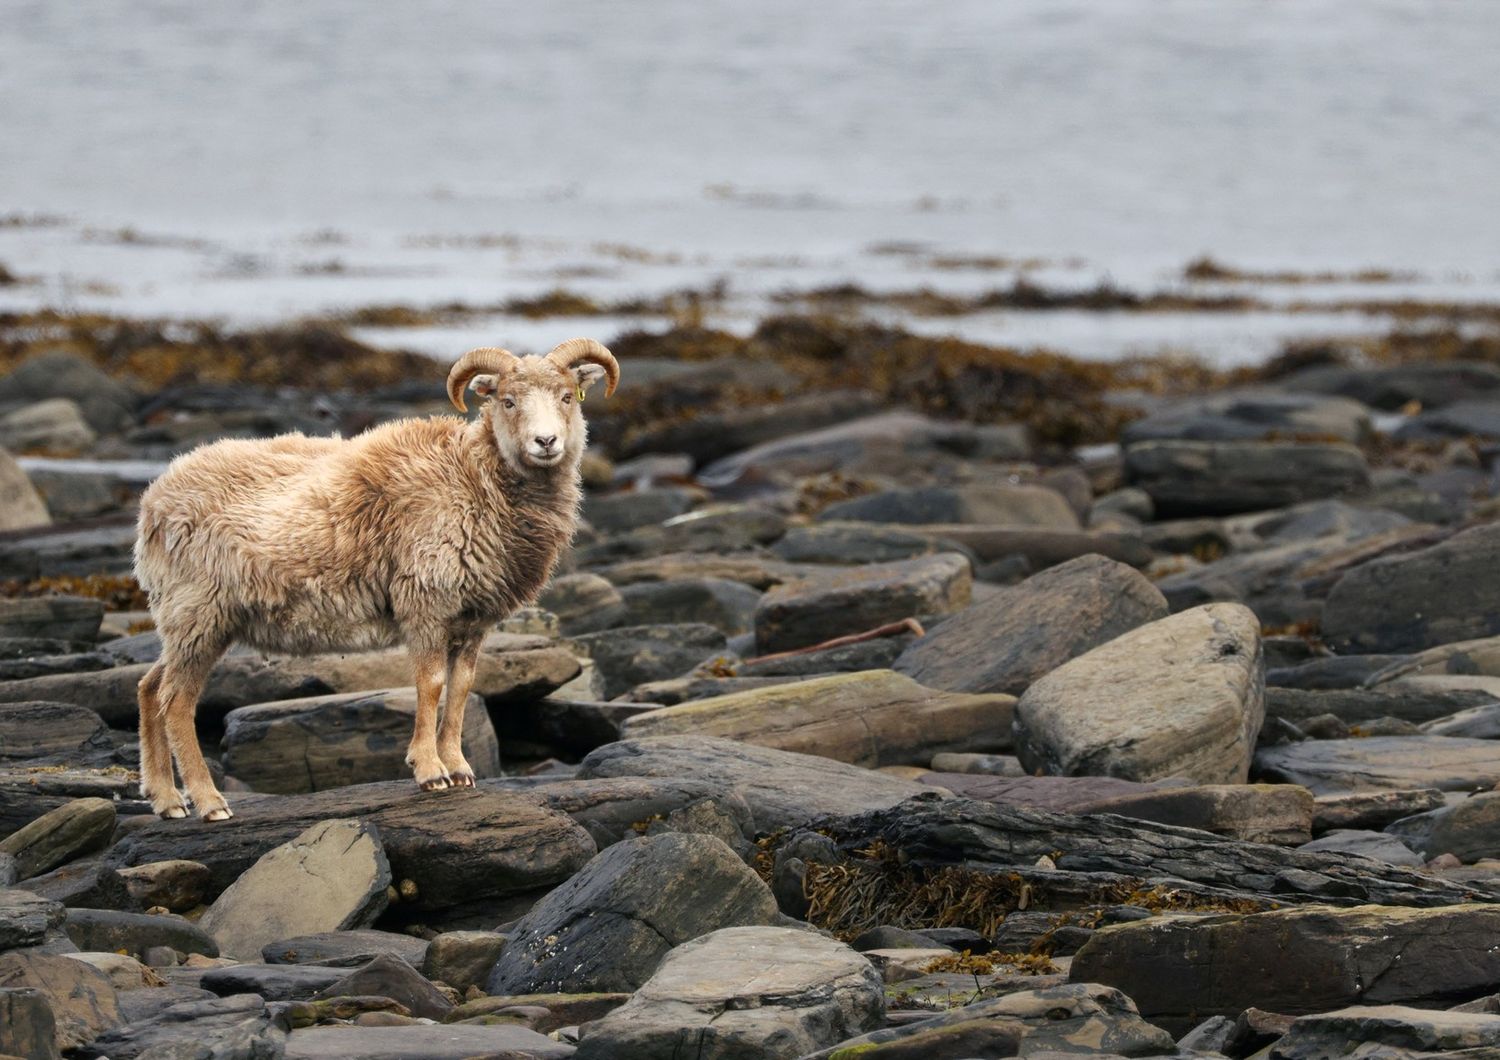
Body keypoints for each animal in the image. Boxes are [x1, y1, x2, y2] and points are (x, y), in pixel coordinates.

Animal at [132, 340, 618, 821]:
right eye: (508, 400)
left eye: (568, 397)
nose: (546, 442)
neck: (474, 479)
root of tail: (154, 499)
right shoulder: (425, 602)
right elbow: (431, 684)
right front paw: (430, 771)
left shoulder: (473, 618)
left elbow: (462, 687)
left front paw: (460, 768)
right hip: (200, 611)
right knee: (176, 701)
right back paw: (209, 801)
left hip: (190, 620)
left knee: (150, 686)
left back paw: (166, 799)